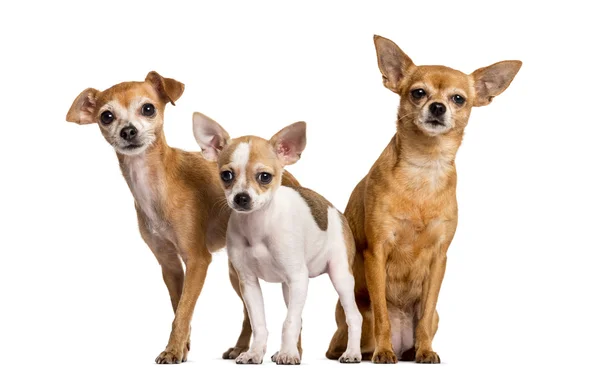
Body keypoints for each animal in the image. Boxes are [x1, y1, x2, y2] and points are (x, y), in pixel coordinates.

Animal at [192, 112, 360, 364]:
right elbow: (260, 323)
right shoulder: (249, 283)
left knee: (353, 317)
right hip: (288, 288)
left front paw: (288, 355)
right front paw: (254, 353)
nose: (241, 198)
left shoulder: (299, 278)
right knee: (299, 318)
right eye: (226, 175)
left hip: (340, 276)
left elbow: (288, 322)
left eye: (264, 177)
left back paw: (351, 353)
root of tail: (334, 210)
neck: (258, 226)